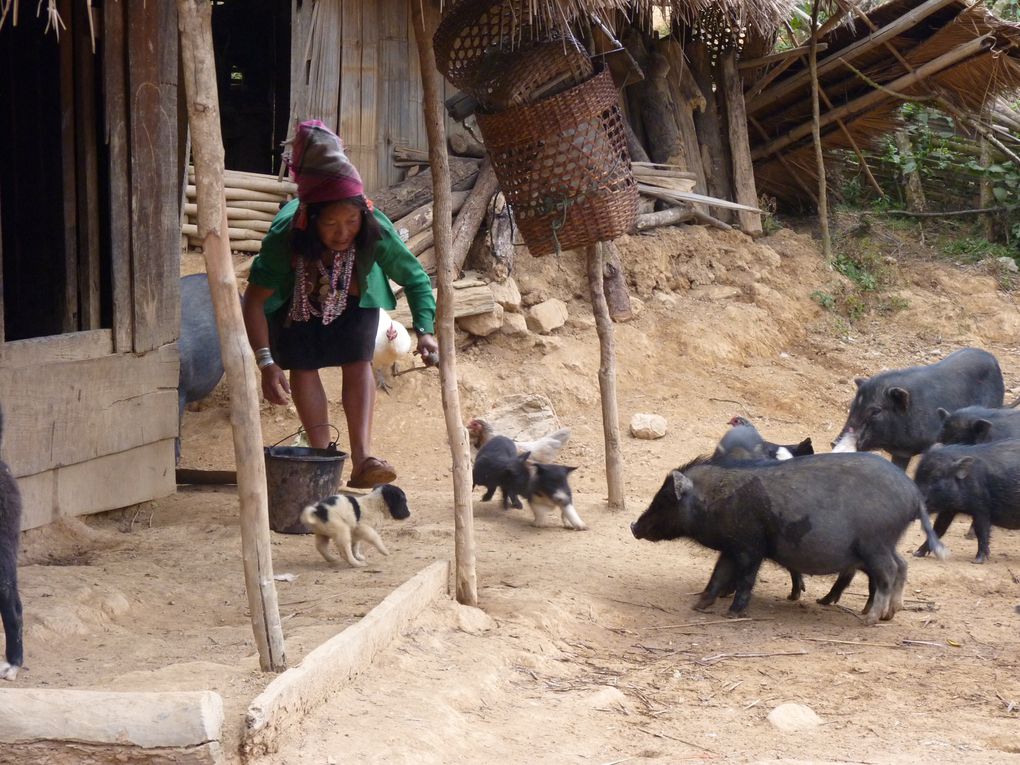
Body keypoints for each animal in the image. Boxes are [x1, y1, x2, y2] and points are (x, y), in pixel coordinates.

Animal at [628, 454, 946, 624]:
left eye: (665, 499)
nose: (633, 526)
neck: (715, 499)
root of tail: (914, 494)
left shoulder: (750, 548)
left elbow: (745, 579)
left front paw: (733, 614)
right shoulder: (733, 547)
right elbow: (717, 575)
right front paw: (698, 606)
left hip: (875, 544)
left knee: (889, 571)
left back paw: (869, 619)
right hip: (883, 545)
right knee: (901, 566)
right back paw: (889, 613)